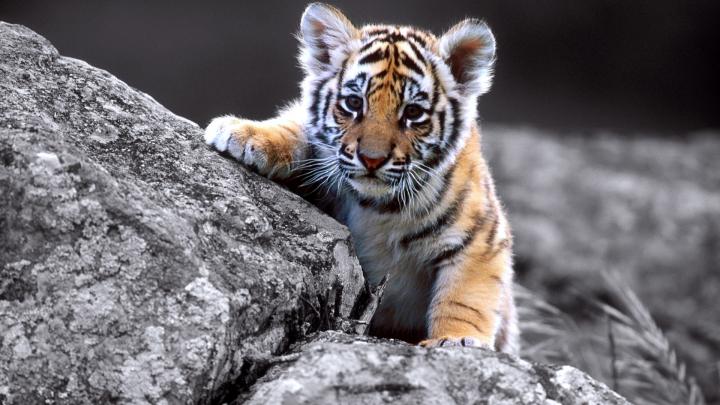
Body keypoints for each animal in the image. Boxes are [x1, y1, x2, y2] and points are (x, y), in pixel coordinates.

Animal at [204, 3, 518, 353]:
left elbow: (465, 297)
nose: (372, 159)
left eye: (413, 113)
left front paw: (456, 339)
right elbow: (297, 128)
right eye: (354, 103)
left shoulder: (482, 239)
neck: (378, 207)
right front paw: (242, 133)